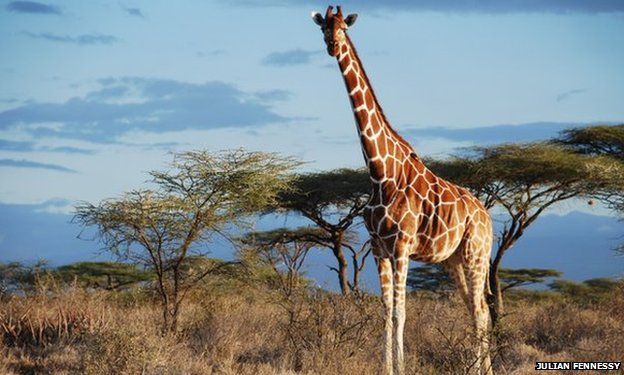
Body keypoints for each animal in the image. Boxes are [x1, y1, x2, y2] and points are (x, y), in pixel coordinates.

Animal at [310, 5, 492, 375]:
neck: (381, 174)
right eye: (323, 28)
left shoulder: (402, 246)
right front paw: (386, 367)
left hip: (475, 253)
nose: (332, 47)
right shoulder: (379, 248)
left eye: (343, 29)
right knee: (476, 308)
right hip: (453, 260)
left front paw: (402, 367)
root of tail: (489, 219)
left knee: (482, 312)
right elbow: (385, 313)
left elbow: (401, 312)